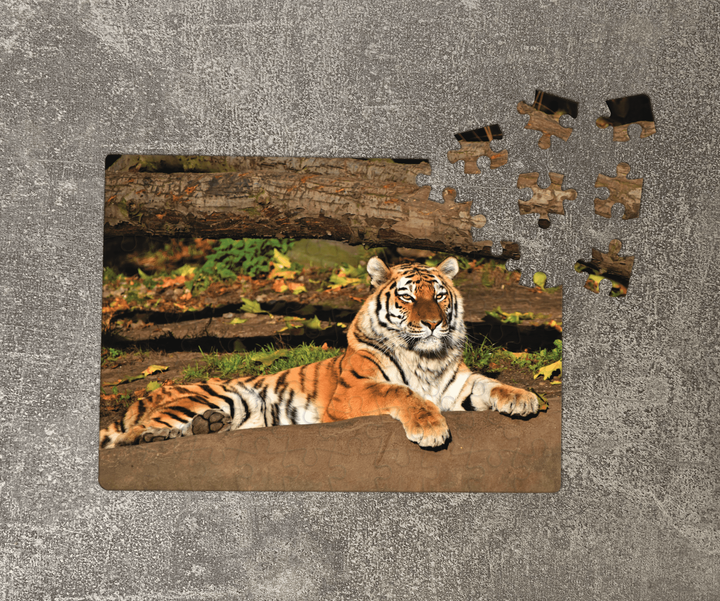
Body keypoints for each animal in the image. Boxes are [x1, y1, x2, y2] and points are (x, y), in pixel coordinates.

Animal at [99, 256, 540, 450]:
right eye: (408, 297)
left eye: (440, 296)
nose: (433, 324)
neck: (426, 357)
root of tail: (152, 391)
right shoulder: (352, 392)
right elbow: (401, 392)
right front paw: (430, 427)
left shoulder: (457, 386)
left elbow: (492, 384)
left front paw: (524, 399)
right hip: (223, 395)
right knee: (127, 437)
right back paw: (148, 437)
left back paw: (208, 427)